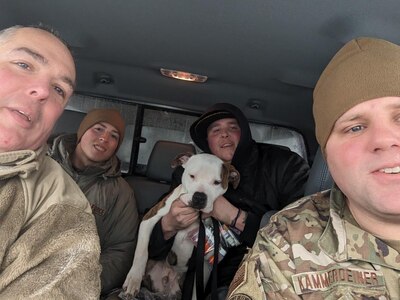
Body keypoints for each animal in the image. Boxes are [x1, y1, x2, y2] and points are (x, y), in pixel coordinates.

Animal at [120, 154, 239, 298]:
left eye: (217, 182)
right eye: (192, 175)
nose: (199, 197)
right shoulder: (149, 218)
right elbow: (141, 252)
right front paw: (133, 279)